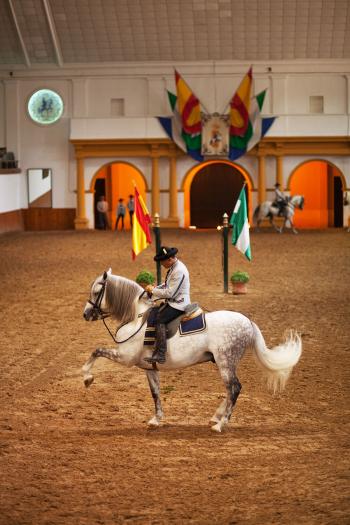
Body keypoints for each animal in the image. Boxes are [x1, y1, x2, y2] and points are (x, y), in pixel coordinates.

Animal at [80, 268, 302, 432]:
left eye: (96, 292)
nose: (86, 314)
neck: (136, 317)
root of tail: (248, 322)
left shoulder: (125, 358)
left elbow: (96, 351)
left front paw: (87, 377)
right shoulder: (149, 368)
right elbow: (155, 392)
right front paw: (156, 419)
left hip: (225, 362)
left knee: (235, 388)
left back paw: (221, 424)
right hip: (224, 363)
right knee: (231, 389)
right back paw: (216, 417)